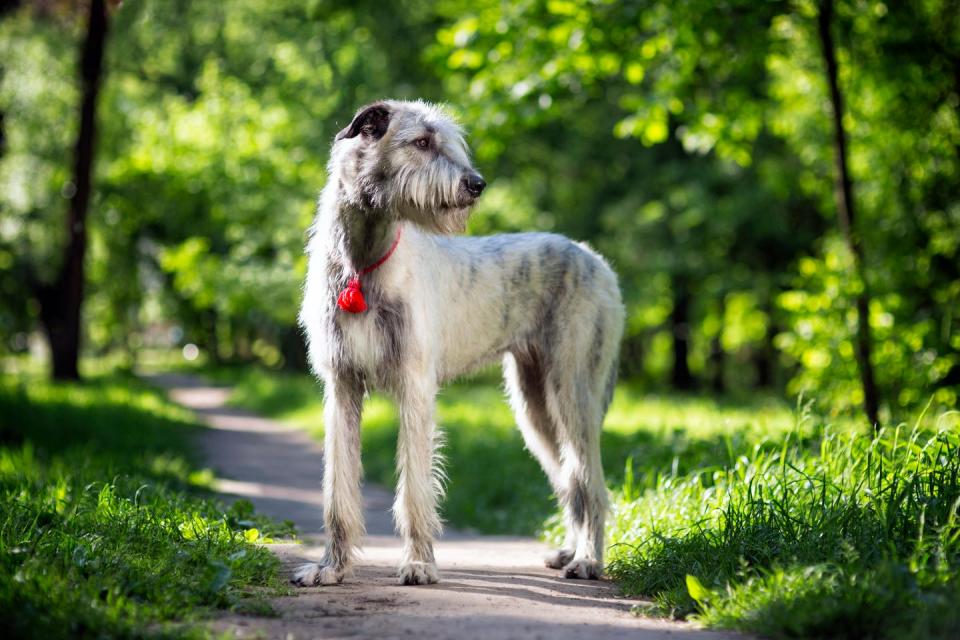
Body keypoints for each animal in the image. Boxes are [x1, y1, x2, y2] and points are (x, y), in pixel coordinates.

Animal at [294, 100, 624, 584]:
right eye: (422, 141)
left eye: (448, 142)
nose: (477, 184)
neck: (363, 262)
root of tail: (597, 260)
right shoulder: (341, 386)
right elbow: (338, 487)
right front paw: (330, 568)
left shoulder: (415, 385)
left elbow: (415, 487)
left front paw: (418, 563)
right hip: (534, 405)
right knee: (571, 482)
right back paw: (569, 551)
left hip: (573, 390)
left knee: (591, 483)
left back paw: (588, 559)